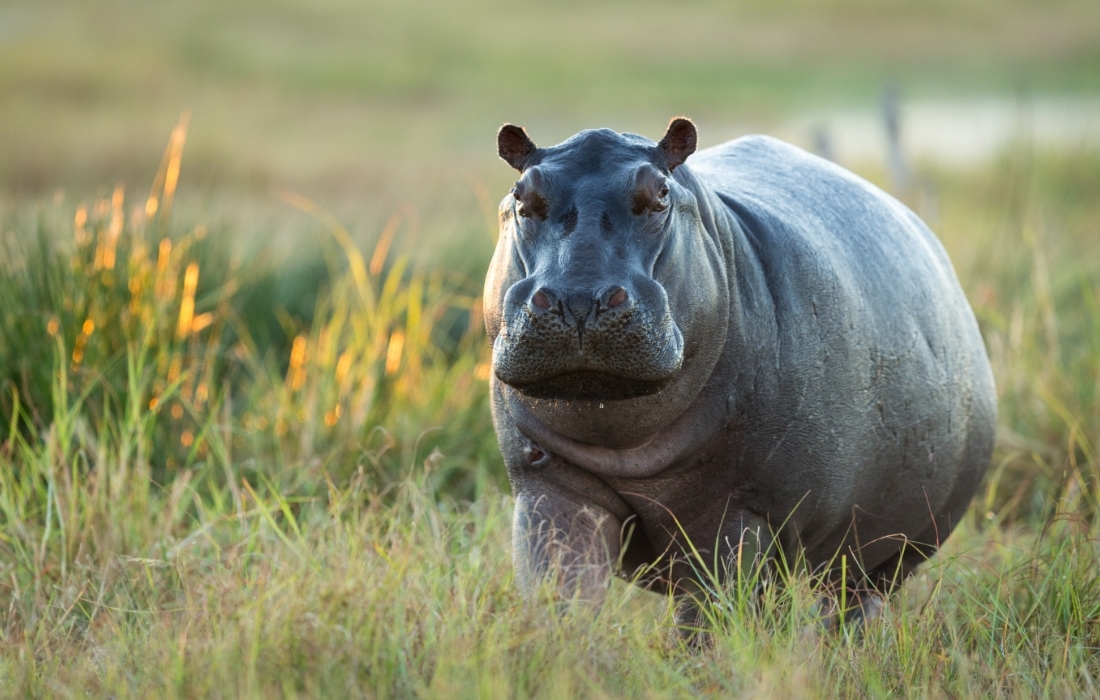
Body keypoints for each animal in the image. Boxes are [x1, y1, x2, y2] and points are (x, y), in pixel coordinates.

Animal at [484, 117, 996, 632]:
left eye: (661, 193)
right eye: (521, 195)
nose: (578, 299)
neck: (623, 444)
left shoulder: (740, 513)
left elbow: (711, 616)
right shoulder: (550, 488)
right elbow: (561, 592)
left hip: (888, 552)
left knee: (853, 602)